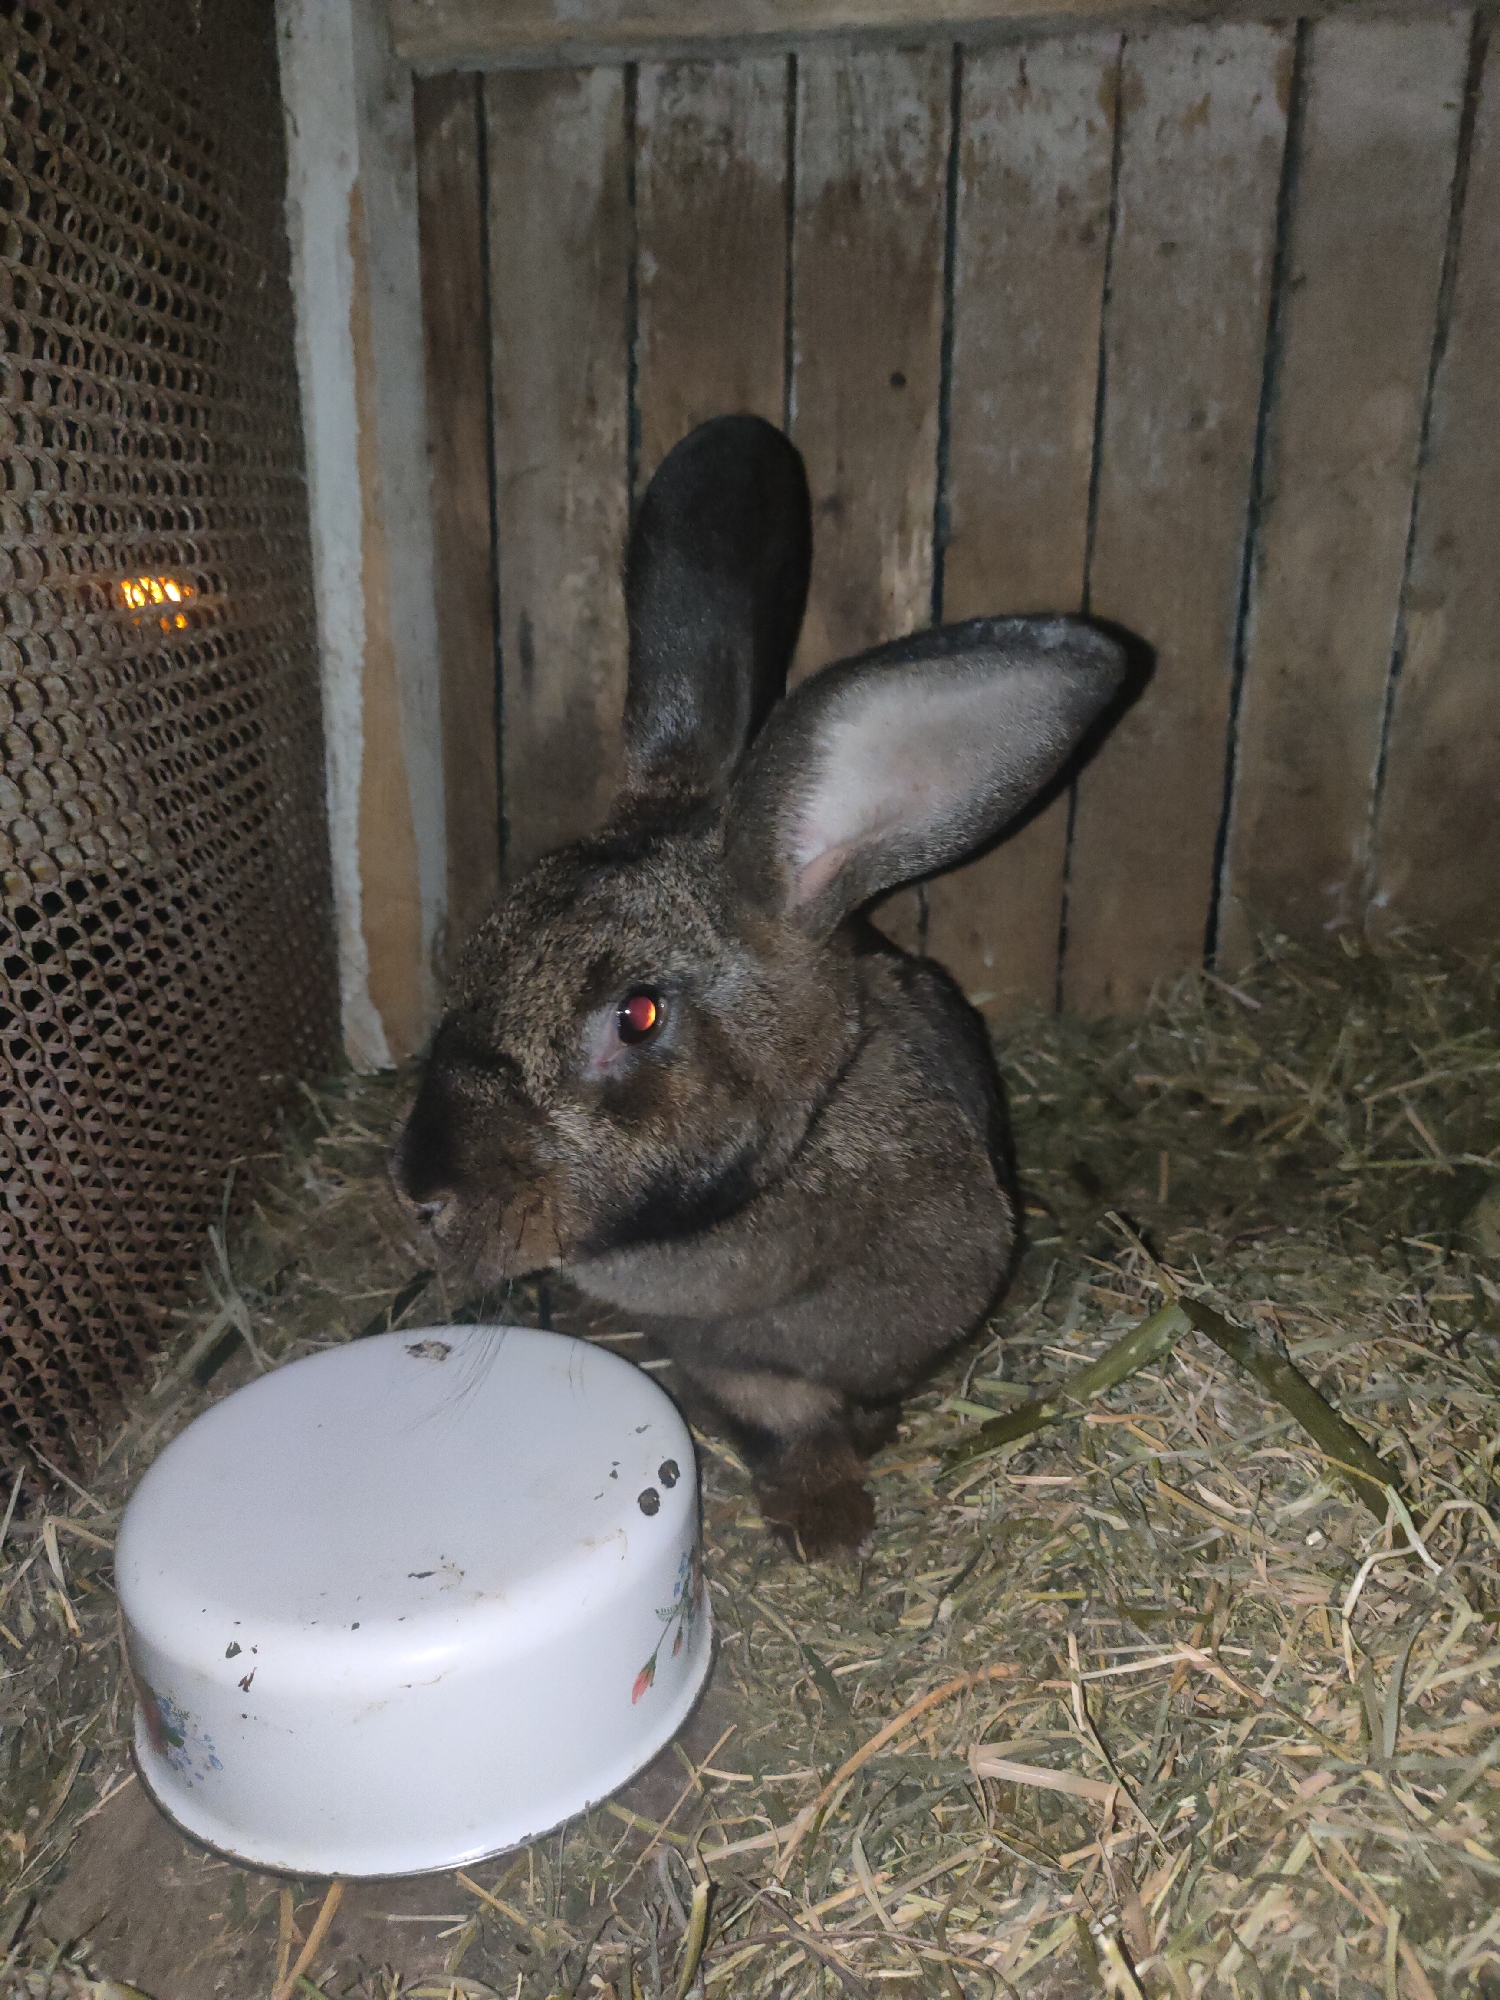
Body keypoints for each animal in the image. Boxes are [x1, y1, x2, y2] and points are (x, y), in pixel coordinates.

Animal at [391, 414, 1126, 1559]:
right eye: (476, 952)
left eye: (637, 1013)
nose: (420, 1194)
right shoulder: (727, 1362)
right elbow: (785, 1421)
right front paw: (824, 1519)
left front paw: (849, 1488)